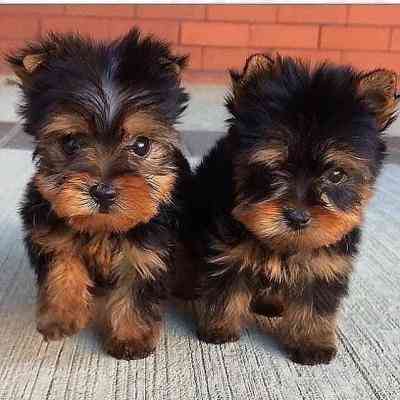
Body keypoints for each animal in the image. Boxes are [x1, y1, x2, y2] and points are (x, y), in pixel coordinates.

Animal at [8, 28, 191, 360]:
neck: (102, 227)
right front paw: (62, 317)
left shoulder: (148, 246)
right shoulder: (48, 226)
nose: (103, 192)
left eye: (141, 145)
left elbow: (136, 287)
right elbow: (62, 263)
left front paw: (131, 338)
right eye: (70, 143)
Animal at [191, 54, 396, 366]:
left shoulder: (327, 263)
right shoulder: (228, 251)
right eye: (273, 169)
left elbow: (316, 304)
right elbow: (225, 288)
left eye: (336, 175)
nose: (297, 217)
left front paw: (311, 342)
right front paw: (218, 327)